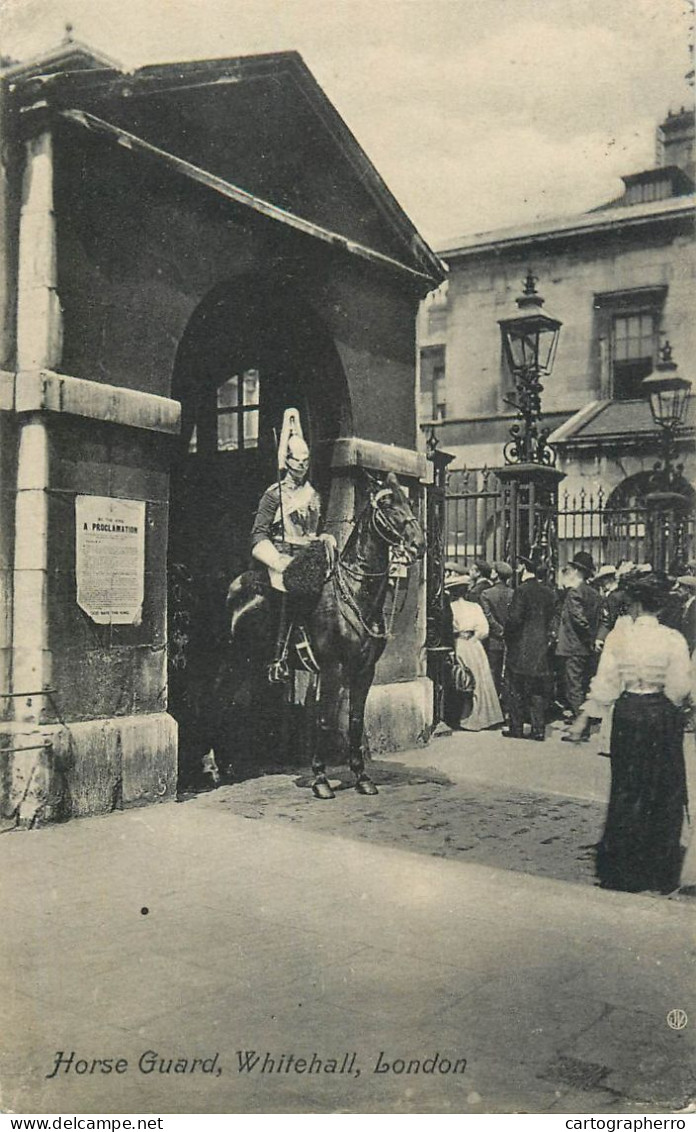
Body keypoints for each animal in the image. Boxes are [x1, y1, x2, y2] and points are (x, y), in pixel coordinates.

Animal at [220, 473, 427, 801]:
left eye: (407, 500)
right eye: (386, 503)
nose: (418, 544)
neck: (356, 595)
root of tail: (237, 585)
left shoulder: (364, 671)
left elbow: (354, 721)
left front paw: (362, 777)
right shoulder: (333, 669)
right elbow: (325, 720)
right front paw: (320, 779)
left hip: (254, 665)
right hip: (235, 660)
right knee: (222, 701)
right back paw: (221, 765)